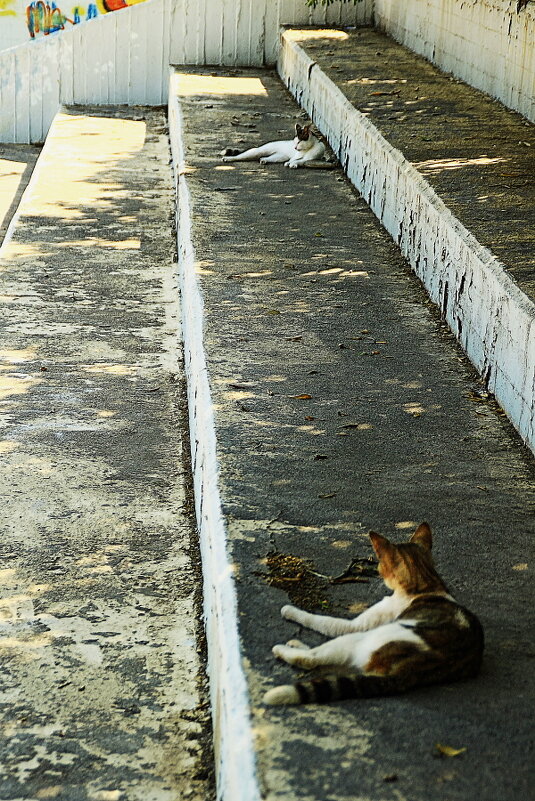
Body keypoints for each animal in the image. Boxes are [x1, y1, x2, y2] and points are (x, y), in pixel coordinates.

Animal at [264, 520, 486, 704]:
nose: (379, 571)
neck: (426, 584)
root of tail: (409, 670)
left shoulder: (355, 625)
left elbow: (319, 619)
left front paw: (290, 610)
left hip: (364, 638)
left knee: (311, 659)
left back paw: (285, 649)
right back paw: (296, 643)